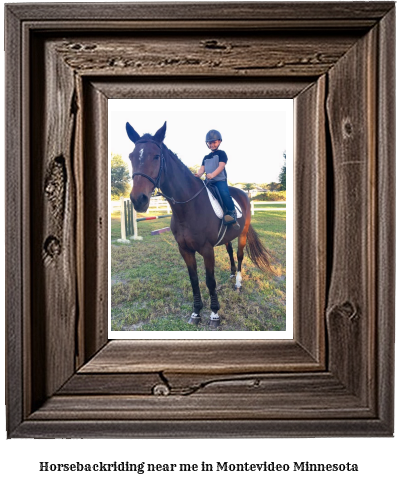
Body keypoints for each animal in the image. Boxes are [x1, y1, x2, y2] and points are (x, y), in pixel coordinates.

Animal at [128, 122, 272, 328]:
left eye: (156, 156)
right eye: (131, 156)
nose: (138, 200)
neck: (188, 207)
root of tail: (243, 194)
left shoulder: (207, 250)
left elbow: (210, 281)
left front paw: (214, 315)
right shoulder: (185, 249)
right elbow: (194, 280)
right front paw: (196, 312)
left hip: (242, 235)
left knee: (239, 255)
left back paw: (238, 282)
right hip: (227, 237)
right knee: (230, 252)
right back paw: (231, 274)